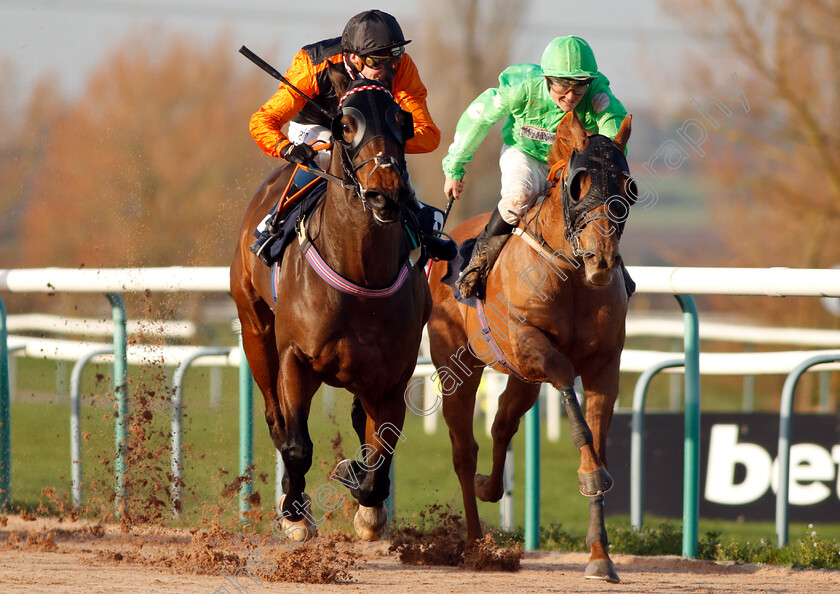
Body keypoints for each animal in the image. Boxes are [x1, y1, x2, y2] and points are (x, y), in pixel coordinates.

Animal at [230, 66, 426, 540]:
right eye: (346, 125)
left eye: (402, 120)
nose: (386, 194)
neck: (359, 273)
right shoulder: (295, 359)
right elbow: (297, 445)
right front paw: (295, 515)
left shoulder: (393, 376)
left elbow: (381, 448)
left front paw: (367, 503)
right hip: (255, 329)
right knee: (276, 418)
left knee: (359, 422)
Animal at [430, 110, 632, 580]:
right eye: (577, 183)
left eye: (626, 185)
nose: (601, 259)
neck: (571, 276)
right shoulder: (529, 344)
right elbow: (567, 387)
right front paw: (590, 475)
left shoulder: (604, 365)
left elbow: (597, 437)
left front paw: (600, 556)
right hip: (456, 366)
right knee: (464, 450)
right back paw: (475, 543)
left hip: (520, 378)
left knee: (502, 423)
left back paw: (489, 488)